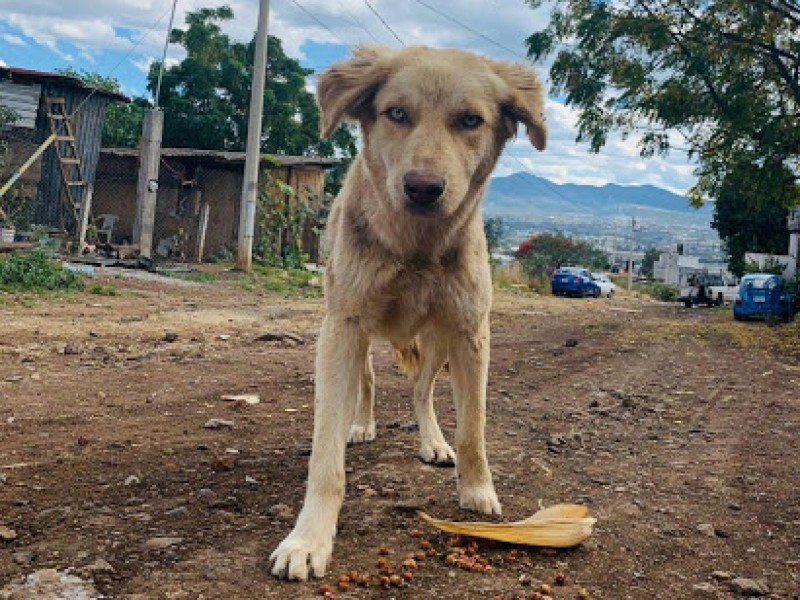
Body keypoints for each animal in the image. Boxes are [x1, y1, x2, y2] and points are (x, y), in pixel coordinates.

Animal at [272, 44, 548, 580]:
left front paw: (477, 489)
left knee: (422, 390)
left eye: (470, 120)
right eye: (396, 113)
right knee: (367, 381)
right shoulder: (343, 326)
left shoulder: (471, 332)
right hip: (355, 333)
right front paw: (308, 538)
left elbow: (473, 428)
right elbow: (325, 457)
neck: (416, 248)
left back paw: (433, 442)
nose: (423, 187)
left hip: (436, 340)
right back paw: (360, 424)